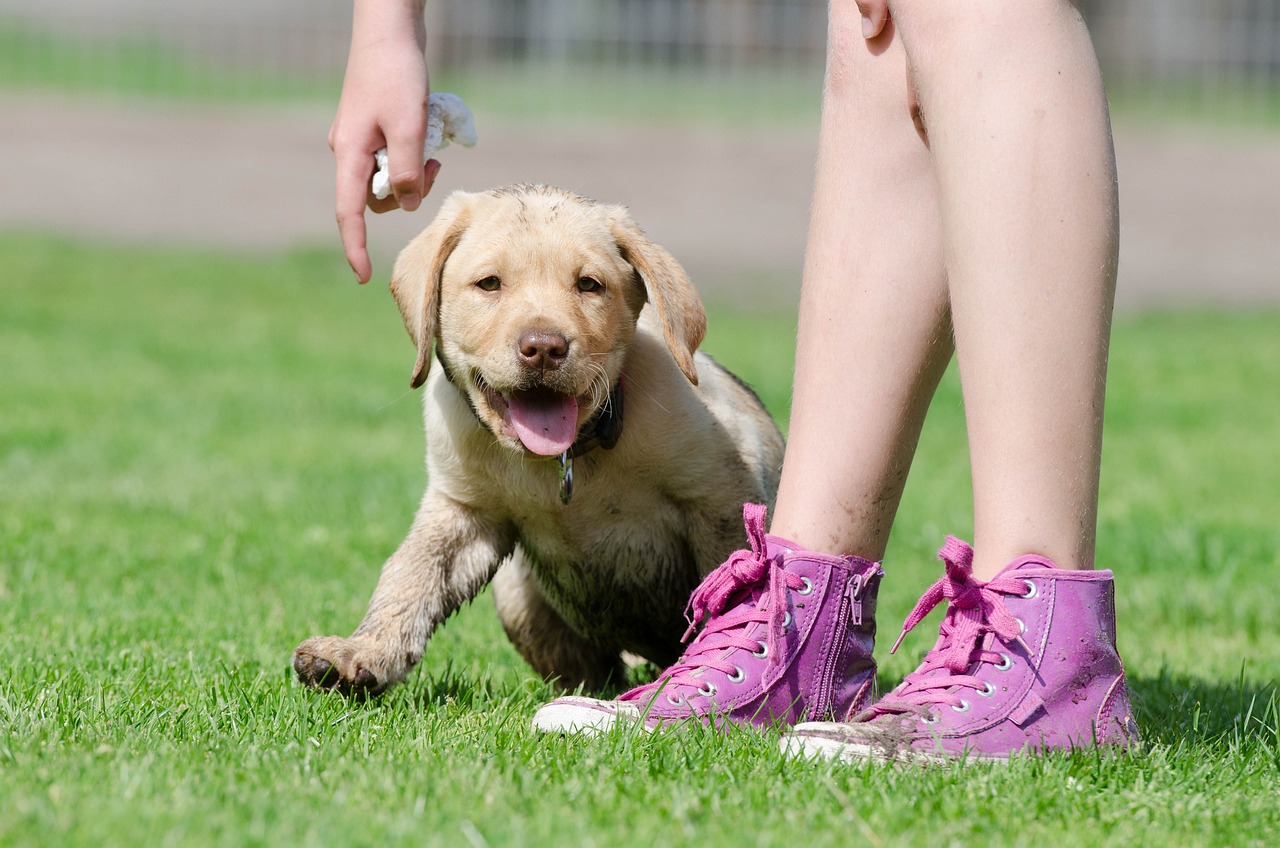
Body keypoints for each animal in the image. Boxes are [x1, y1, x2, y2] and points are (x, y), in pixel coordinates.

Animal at [294, 185, 783, 696]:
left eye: (589, 285)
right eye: (489, 284)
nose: (544, 348)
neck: (565, 459)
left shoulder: (720, 499)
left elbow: (731, 587)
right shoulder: (462, 511)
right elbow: (409, 575)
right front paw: (364, 651)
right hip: (517, 595)